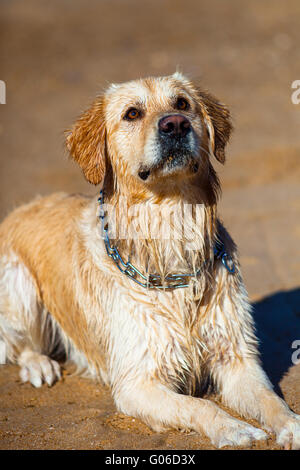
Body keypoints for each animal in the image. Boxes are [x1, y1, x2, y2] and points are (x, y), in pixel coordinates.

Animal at [0, 72, 300, 448]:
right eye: (132, 113)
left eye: (182, 103)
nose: (175, 124)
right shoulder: (138, 382)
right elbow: (199, 405)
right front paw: (235, 428)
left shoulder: (236, 359)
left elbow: (270, 399)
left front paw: (292, 425)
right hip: (18, 283)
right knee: (17, 343)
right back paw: (39, 365)